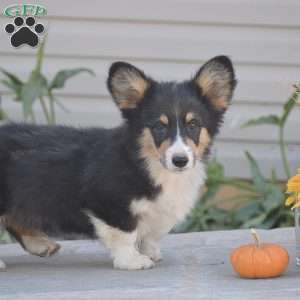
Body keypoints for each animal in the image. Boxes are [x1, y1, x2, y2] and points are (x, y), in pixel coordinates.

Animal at [0, 55, 237, 270]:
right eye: (159, 127)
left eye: (193, 125)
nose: (180, 160)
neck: (146, 160)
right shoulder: (109, 204)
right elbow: (125, 234)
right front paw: (133, 260)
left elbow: (151, 235)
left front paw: (151, 252)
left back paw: (40, 244)